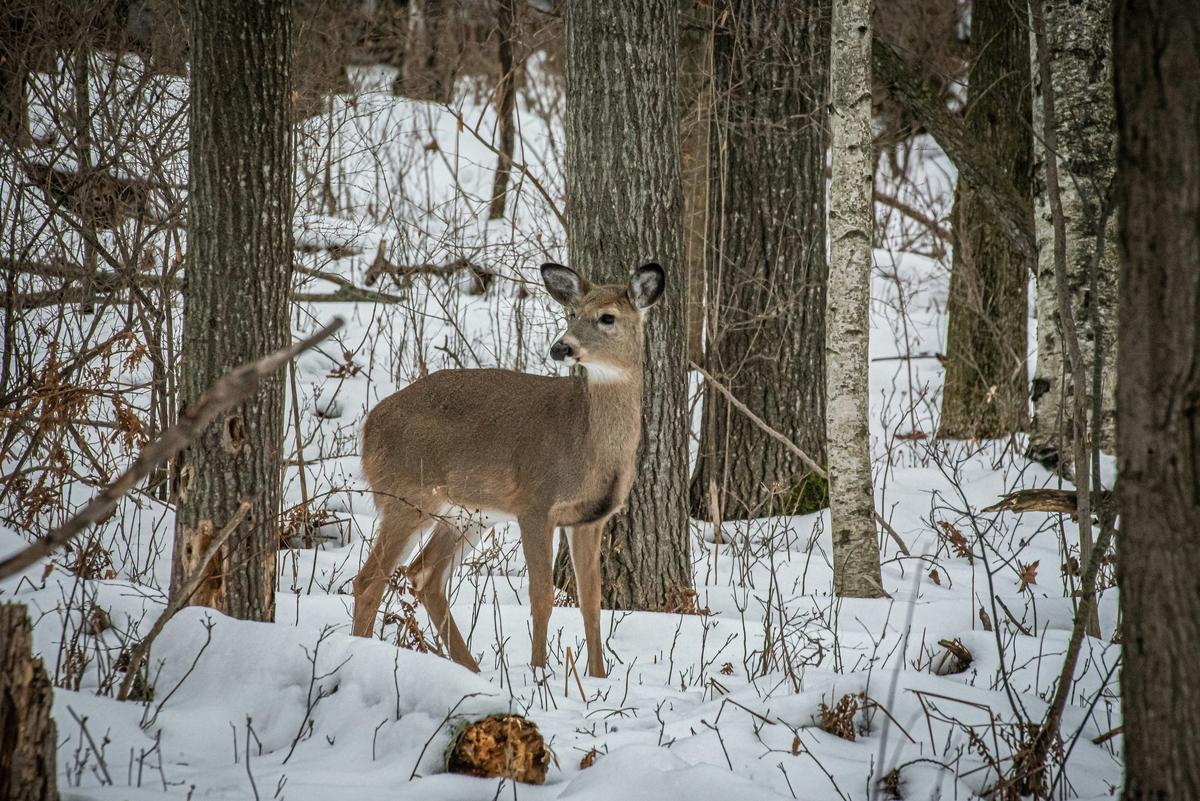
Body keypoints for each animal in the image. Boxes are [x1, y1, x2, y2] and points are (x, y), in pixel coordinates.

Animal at [352, 261, 666, 678]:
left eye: (607, 317)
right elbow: (542, 595)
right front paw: (539, 673)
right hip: (407, 495)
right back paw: (364, 651)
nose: (560, 347)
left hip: (466, 515)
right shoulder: (535, 503)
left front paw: (598, 678)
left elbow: (591, 601)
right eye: (572, 314)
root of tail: (369, 426)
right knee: (370, 579)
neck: (588, 446)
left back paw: (471, 669)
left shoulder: (589, 518)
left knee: (424, 575)